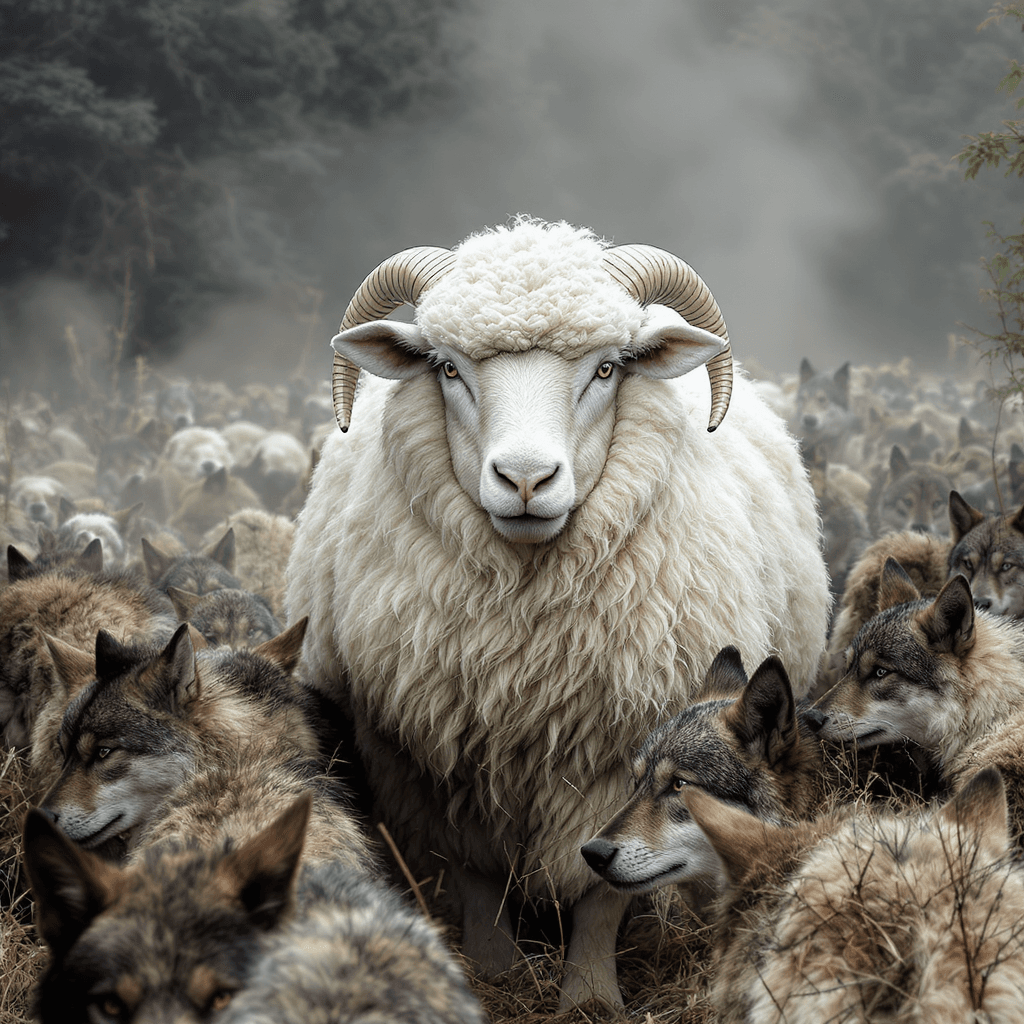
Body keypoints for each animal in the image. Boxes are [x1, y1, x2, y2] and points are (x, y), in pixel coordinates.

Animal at [285, 217, 830, 1010]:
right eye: (448, 369)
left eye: (605, 370)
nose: (525, 478)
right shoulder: (437, 756)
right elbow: (476, 876)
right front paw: (496, 973)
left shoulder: (613, 747)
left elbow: (602, 882)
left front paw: (590, 994)